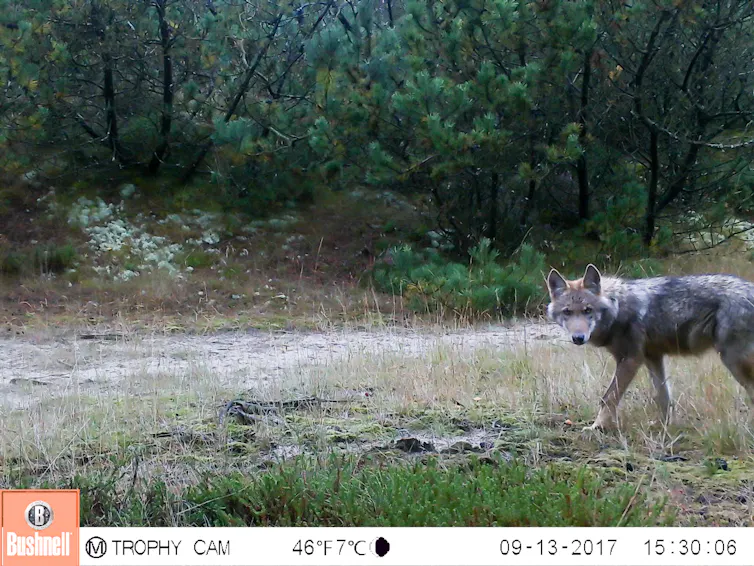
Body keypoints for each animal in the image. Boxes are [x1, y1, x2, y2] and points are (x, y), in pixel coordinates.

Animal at [546, 264, 754, 431]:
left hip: (733, 360)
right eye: (567, 312)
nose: (578, 338)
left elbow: (608, 397)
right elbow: (663, 396)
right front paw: (664, 426)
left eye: (588, 310)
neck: (617, 308)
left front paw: (597, 427)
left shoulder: (631, 359)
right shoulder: (652, 358)